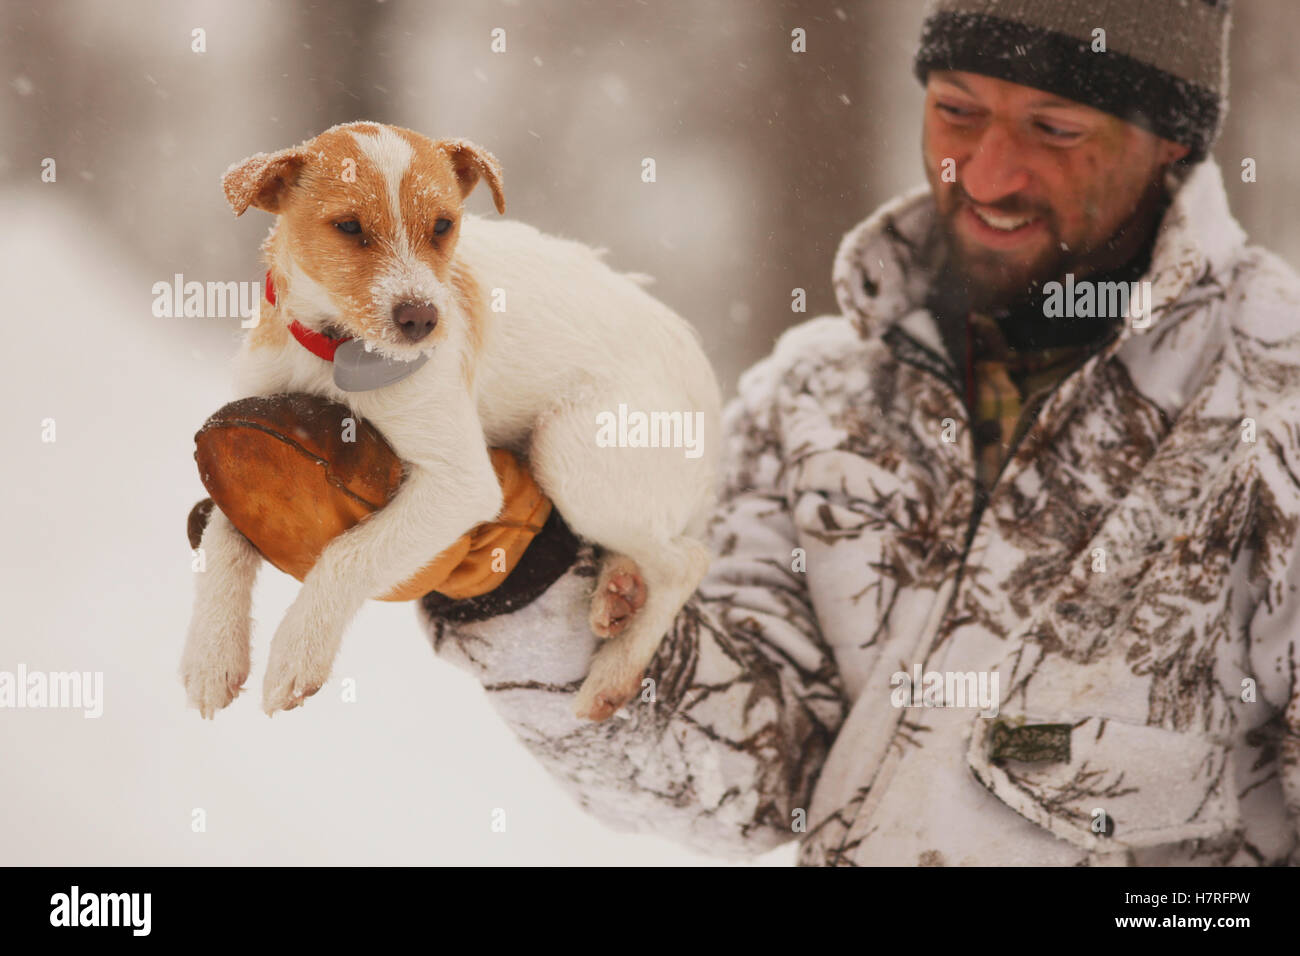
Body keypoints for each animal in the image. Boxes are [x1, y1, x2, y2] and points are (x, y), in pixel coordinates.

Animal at [176, 121, 722, 717]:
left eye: (442, 226)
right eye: (349, 227)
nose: (421, 319)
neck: (339, 351)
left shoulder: (463, 484)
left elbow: (349, 554)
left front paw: (298, 651)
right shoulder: (240, 430)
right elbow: (223, 538)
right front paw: (211, 656)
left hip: (569, 444)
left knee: (687, 560)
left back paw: (615, 672)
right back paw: (618, 593)